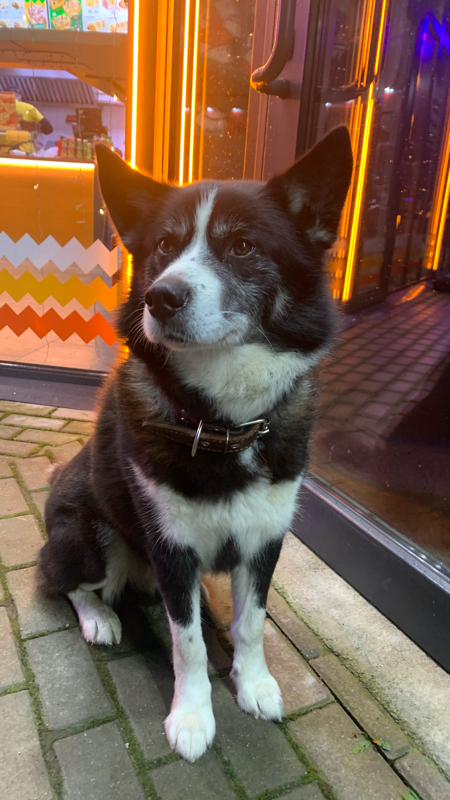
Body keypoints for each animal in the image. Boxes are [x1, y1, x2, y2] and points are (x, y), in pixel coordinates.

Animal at [37, 126, 352, 762]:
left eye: (243, 247)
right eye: (163, 245)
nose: (160, 298)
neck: (222, 424)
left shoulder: (264, 538)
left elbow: (250, 624)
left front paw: (254, 685)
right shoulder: (171, 547)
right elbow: (188, 644)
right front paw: (191, 717)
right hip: (92, 536)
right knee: (64, 580)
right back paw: (99, 618)